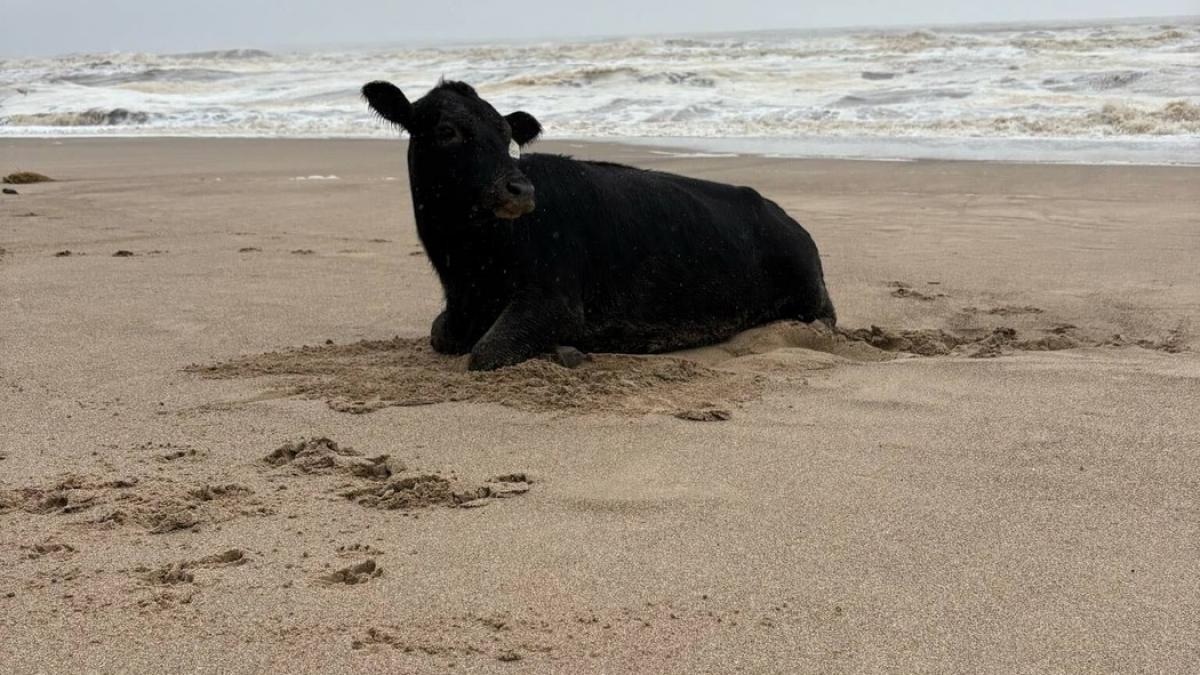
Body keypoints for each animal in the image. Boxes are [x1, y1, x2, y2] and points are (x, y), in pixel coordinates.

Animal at [363, 79, 836, 371]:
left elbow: (485, 353)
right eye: (446, 131)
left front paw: (567, 352)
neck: (466, 270)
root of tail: (780, 213)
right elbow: (440, 334)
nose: (521, 189)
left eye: (506, 135)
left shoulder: (555, 300)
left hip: (811, 299)